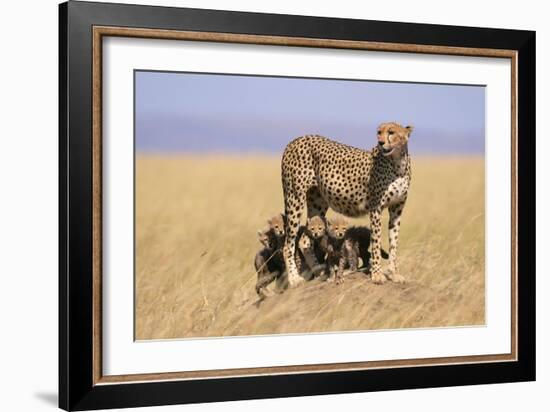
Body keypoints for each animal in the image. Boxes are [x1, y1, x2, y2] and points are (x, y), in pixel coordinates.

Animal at [280, 120, 414, 284]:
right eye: (379, 132)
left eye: (391, 132)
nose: (381, 142)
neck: (397, 162)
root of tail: (296, 139)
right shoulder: (376, 208)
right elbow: (376, 242)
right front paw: (377, 274)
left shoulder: (396, 209)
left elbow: (394, 243)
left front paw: (394, 273)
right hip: (294, 198)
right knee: (288, 245)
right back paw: (294, 278)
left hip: (317, 202)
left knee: (305, 240)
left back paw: (320, 272)